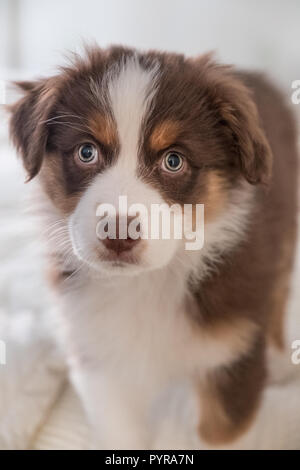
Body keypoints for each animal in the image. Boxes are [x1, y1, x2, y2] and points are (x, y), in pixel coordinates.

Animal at [8, 46, 298, 450]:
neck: (147, 281)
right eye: (86, 152)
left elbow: (221, 433)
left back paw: (281, 361)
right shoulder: (97, 353)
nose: (118, 233)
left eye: (173, 160)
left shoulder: (232, 355)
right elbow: (120, 434)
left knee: (279, 292)